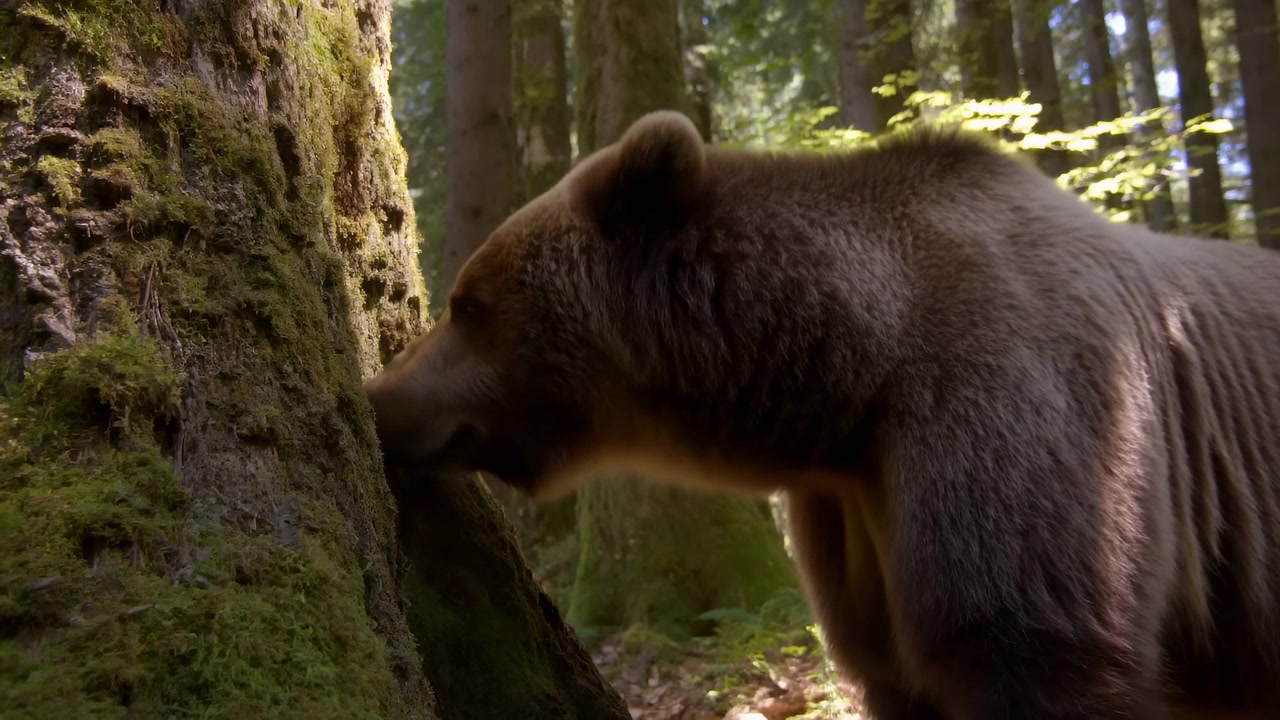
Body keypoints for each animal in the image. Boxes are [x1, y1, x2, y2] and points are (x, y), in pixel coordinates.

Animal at [364, 110, 1280, 720]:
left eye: (468, 303)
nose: (380, 399)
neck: (857, 381)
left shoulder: (1014, 415)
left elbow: (1031, 644)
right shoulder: (850, 514)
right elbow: (895, 670)